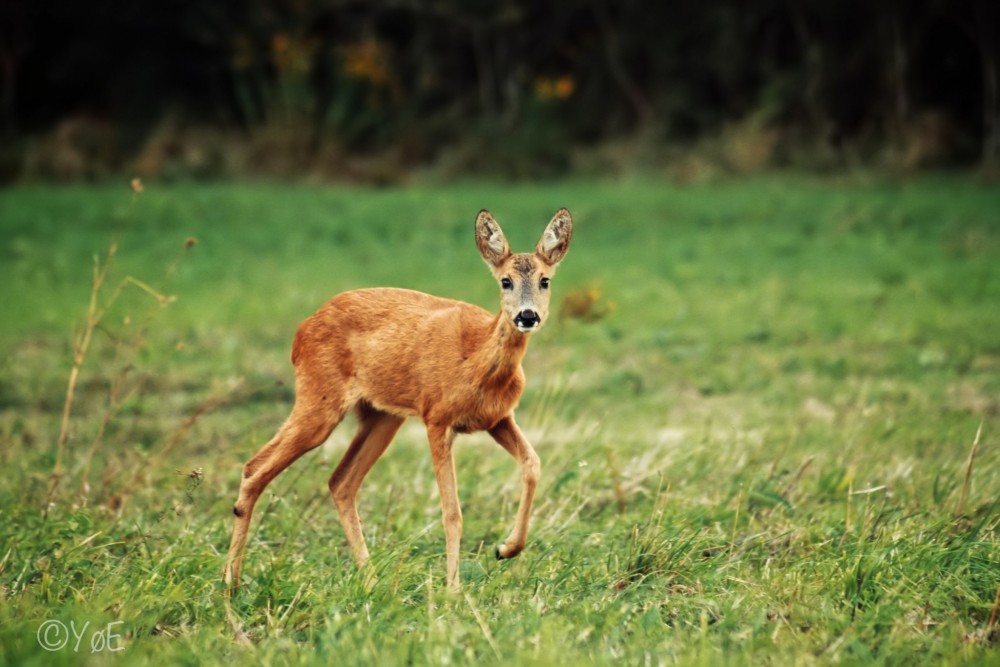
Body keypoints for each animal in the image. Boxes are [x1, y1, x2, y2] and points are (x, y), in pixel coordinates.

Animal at [224, 210, 576, 596]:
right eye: (505, 281)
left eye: (545, 280)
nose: (527, 316)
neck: (476, 360)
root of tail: (300, 332)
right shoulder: (436, 417)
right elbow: (452, 511)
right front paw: (453, 590)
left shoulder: (498, 418)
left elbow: (533, 463)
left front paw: (506, 549)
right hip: (319, 399)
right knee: (255, 467)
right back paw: (230, 583)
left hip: (382, 416)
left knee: (340, 482)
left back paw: (372, 580)